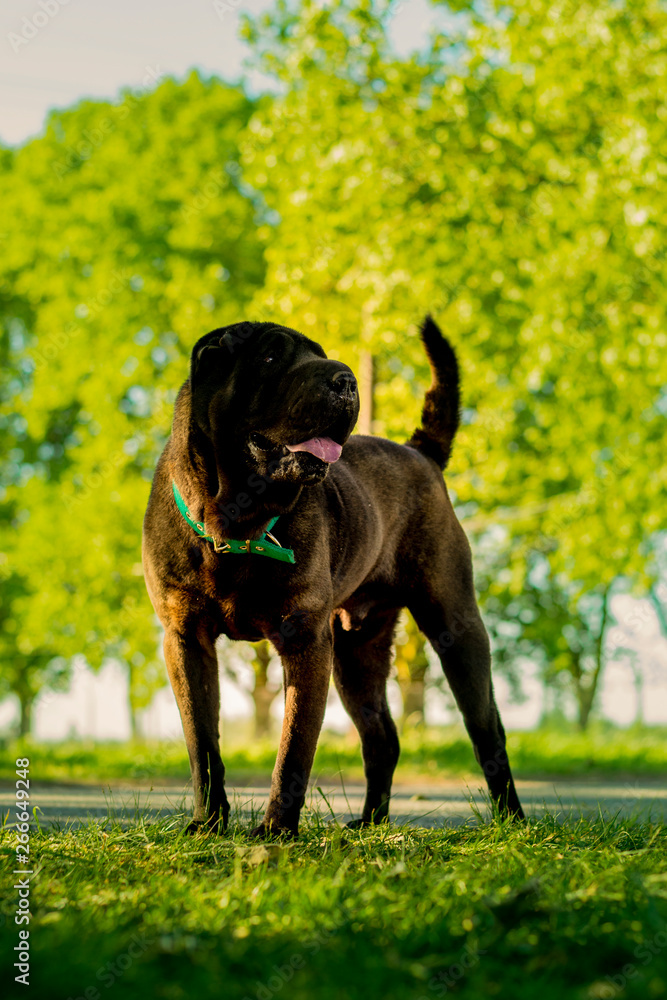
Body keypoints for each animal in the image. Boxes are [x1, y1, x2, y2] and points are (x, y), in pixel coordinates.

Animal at [144, 316, 524, 832]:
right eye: (270, 357)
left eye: (318, 355)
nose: (346, 380)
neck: (238, 523)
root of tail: (420, 452)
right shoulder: (186, 639)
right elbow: (201, 740)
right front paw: (209, 823)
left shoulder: (305, 640)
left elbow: (294, 748)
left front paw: (276, 830)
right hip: (356, 652)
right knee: (383, 737)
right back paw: (370, 822)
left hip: (455, 624)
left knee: (488, 730)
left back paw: (513, 820)